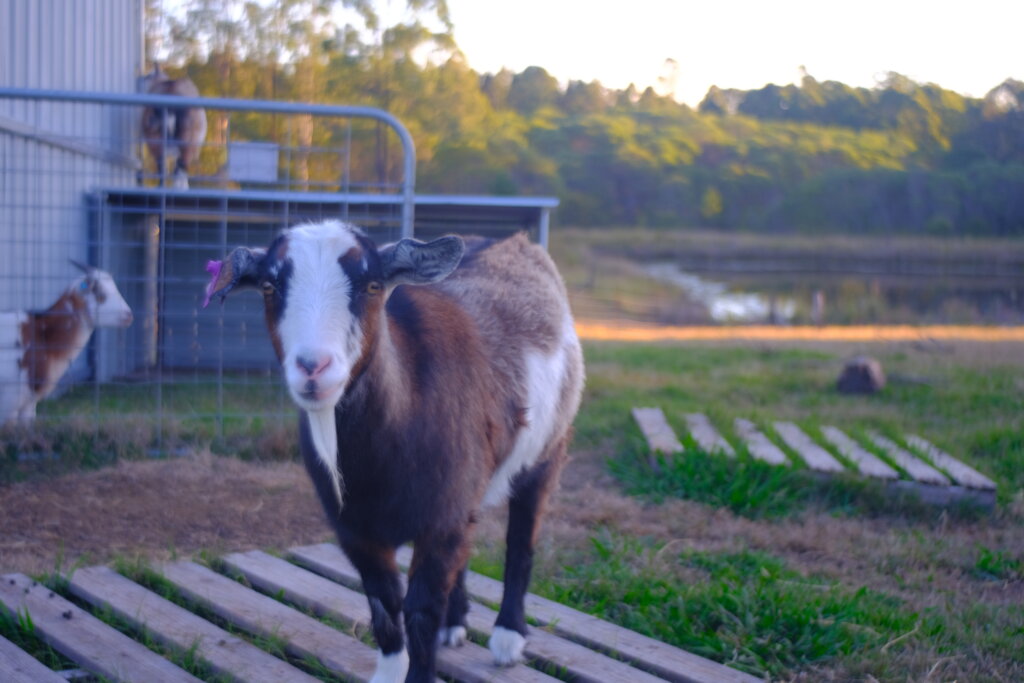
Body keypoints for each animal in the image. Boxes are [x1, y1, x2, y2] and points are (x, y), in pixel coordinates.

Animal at [205, 222, 585, 679]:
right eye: (268, 286)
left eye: (372, 285)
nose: (313, 367)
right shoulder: (356, 527)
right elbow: (384, 603)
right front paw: (389, 670)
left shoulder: (440, 516)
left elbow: (419, 611)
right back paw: (455, 624)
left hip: (550, 447)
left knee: (521, 542)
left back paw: (508, 638)